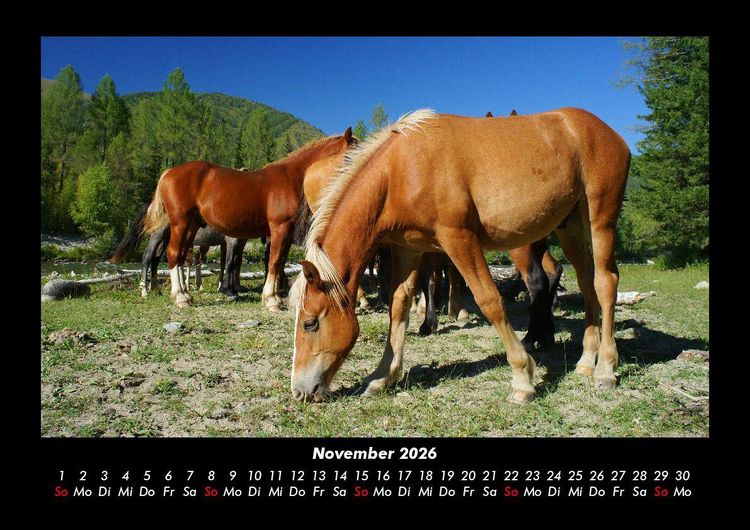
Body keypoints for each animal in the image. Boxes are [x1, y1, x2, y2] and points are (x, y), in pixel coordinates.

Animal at [143, 129, 355, 311]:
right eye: (350, 154)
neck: (291, 177)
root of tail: (168, 173)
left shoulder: (286, 232)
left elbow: (280, 262)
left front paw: (276, 297)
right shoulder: (279, 228)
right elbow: (274, 261)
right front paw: (271, 300)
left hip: (191, 226)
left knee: (180, 256)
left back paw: (185, 295)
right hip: (180, 224)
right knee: (172, 254)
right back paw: (179, 296)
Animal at [290, 108, 630, 404]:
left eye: (310, 324)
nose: (299, 390)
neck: (402, 168)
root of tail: (607, 131)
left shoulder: (458, 239)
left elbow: (489, 300)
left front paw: (523, 378)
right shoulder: (409, 249)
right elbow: (398, 306)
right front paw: (383, 376)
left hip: (600, 220)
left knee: (605, 283)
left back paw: (605, 369)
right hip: (571, 227)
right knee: (587, 284)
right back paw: (586, 361)